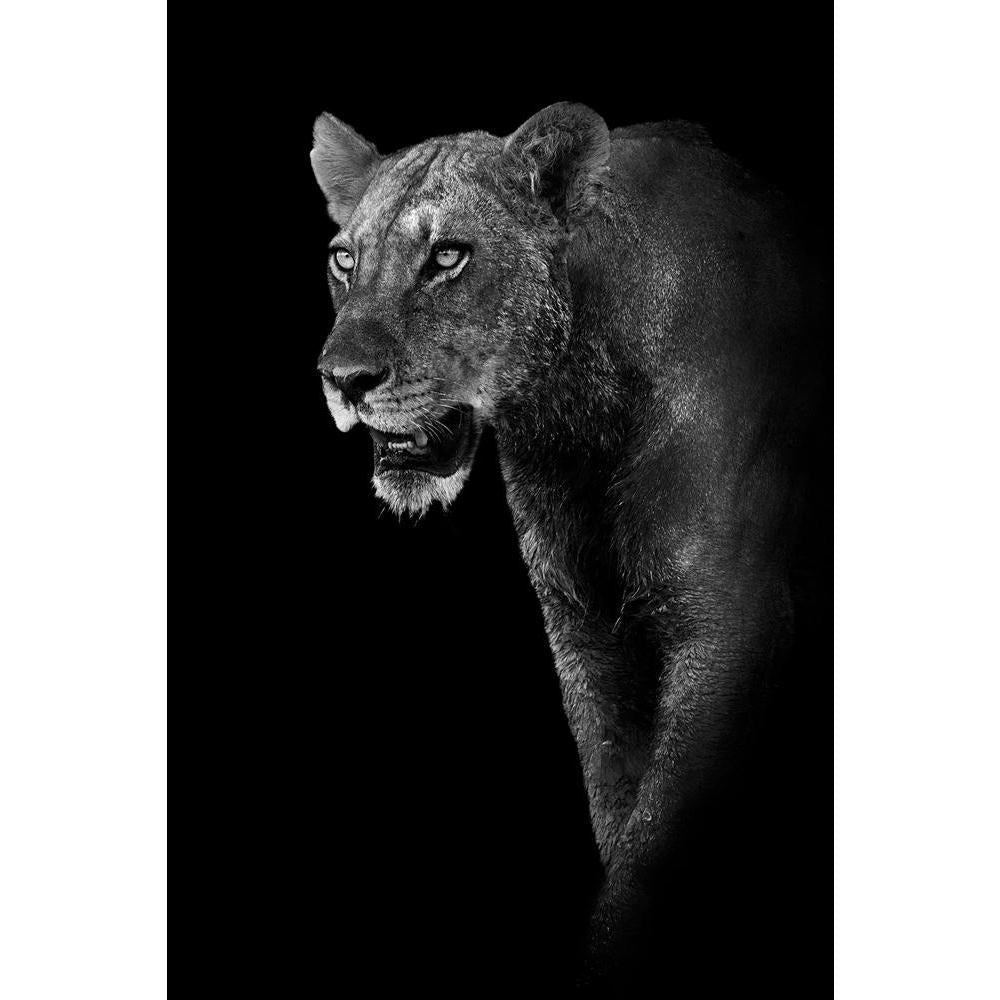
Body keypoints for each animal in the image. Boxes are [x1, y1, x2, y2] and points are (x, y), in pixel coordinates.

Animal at [310, 103, 824, 986]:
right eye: (346, 259)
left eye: (447, 256)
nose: (343, 378)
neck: (574, 416)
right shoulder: (585, 632)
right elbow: (620, 806)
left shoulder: (732, 628)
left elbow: (654, 847)